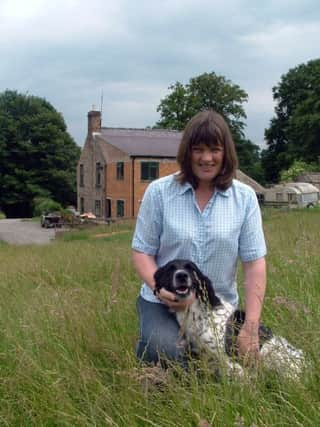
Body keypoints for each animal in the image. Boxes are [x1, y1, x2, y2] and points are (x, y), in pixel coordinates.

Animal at [154, 260, 304, 380]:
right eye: (170, 269)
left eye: (191, 269)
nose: (181, 275)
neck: (199, 313)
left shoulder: (226, 358)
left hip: (268, 351)